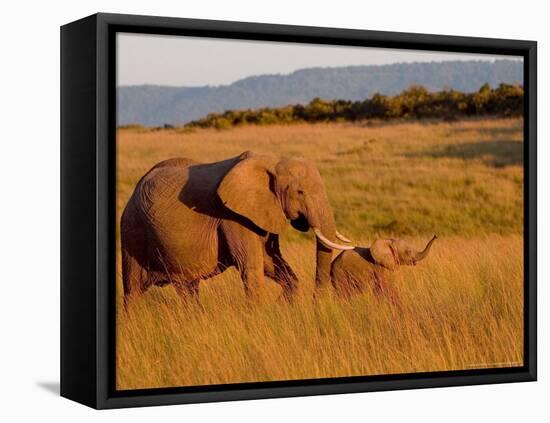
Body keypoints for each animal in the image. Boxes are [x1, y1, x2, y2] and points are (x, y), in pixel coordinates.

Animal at [121, 151, 354, 306]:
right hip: (132, 230)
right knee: (132, 290)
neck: (272, 162)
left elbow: (271, 262)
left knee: (187, 289)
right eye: (300, 192)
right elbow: (252, 267)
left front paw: (281, 307)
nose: (317, 304)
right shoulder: (232, 216)